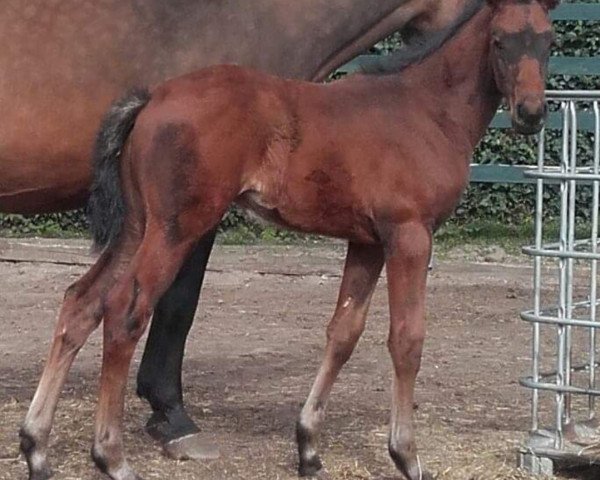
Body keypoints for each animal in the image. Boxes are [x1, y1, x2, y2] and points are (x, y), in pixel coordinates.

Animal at [22, 0, 556, 480]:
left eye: (548, 42)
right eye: (500, 41)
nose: (531, 113)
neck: (425, 110)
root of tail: (149, 99)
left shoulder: (366, 242)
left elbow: (343, 333)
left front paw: (309, 449)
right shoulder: (409, 235)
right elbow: (407, 340)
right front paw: (406, 455)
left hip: (137, 226)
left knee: (80, 303)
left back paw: (36, 448)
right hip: (175, 229)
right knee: (125, 312)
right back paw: (111, 456)